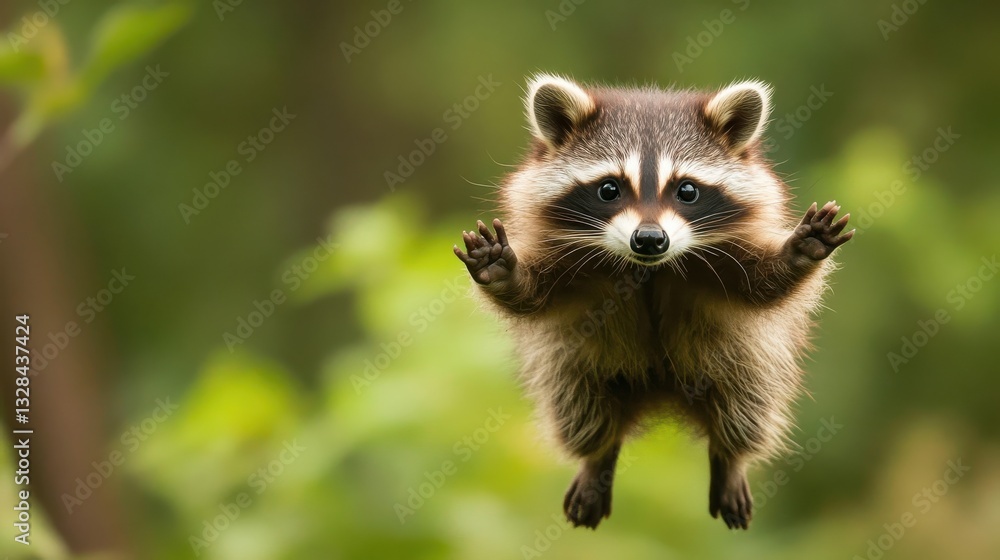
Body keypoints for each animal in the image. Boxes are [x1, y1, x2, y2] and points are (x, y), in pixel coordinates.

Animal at [453, 74, 853, 530]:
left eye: (687, 190)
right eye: (609, 188)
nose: (648, 239)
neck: (649, 268)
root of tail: (661, 395)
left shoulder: (724, 262)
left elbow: (764, 287)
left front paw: (799, 252)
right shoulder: (571, 264)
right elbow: (532, 298)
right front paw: (504, 272)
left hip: (746, 360)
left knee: (747, 404)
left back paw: (729, 456)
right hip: (574, 367)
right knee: (578, 406)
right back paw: (598, 455)